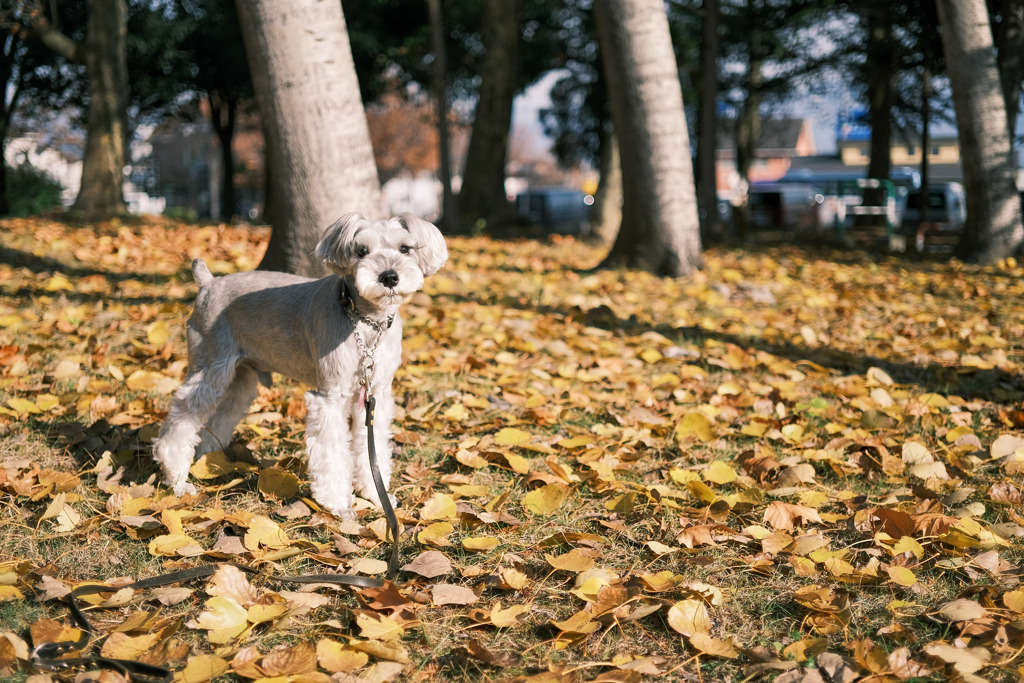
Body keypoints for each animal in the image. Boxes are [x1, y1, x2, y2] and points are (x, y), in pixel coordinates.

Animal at [152, 214, 448, 518]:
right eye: (361, 251)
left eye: (405, 248)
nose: (389, 277)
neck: (366, 321)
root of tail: (208, 284)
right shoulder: (330, 398)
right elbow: (332, 452)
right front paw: (338, 503)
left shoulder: (374, 394)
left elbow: (371, 446)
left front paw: (376, 494)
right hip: (212, 370)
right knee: (182, 417)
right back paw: (176, 478)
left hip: (240, 381)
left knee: (217, 420)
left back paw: (210, 460)